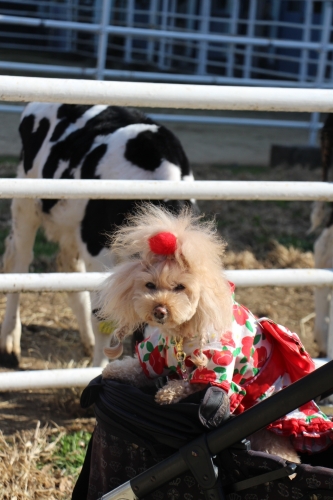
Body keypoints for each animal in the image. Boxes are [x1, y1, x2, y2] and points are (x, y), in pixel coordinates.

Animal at [0, 102, 195, 368]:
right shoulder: (99, 249)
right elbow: (105, 319)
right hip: (26, 200)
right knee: (19, 263)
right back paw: (10, 344)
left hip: (72, 223)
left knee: (68, 267)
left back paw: (87, 341)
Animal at [100, 205, 328, 462]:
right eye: (150, 285)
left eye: (180, 287)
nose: (159, 310)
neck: (183, 333)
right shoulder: (156, 350)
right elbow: (137, 366)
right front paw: (111, 370)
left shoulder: (218, 364)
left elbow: (192, 383)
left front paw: (167, 393)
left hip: (271, 428)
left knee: (283, 453)